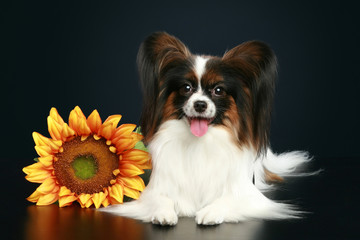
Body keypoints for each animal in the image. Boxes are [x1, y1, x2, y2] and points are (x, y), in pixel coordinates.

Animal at [102, 31, 310, 225]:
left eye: (218, 90)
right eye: (186, 88)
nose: (200, 104)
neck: (200, 142)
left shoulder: (249, 196)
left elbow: (228, 200)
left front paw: (210, 212)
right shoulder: (155, 189)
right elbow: (161, 199)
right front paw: (163, 213)